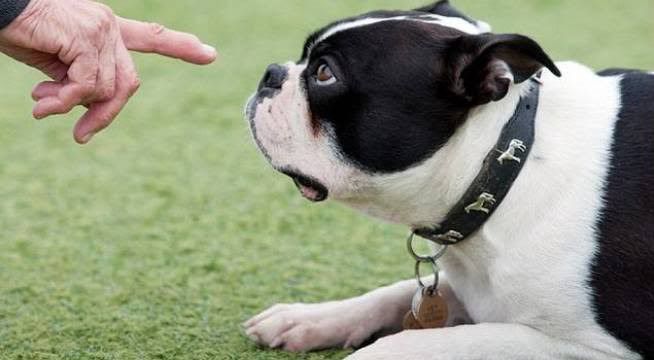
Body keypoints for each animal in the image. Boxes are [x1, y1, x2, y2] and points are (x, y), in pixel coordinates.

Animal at [243, 1, 654, 358]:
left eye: (324, 73)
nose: (271, 74)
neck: (504, 166)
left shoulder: (592, 347)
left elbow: (425, 342)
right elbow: (395, 293)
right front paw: (308, 317)